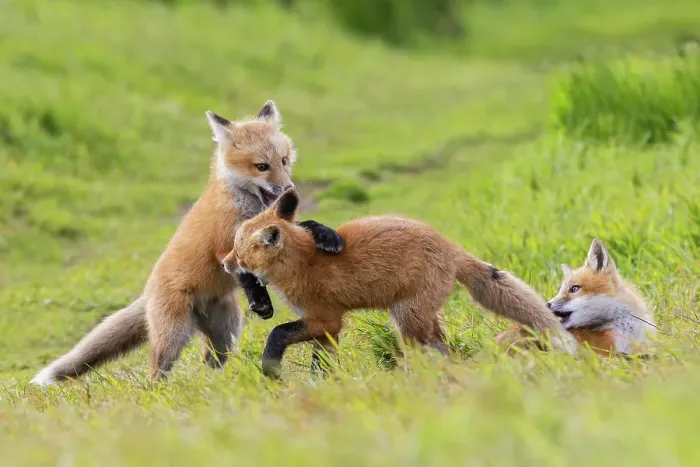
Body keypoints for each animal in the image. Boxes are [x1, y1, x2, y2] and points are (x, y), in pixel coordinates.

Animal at [29, 101, 344, 386]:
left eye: (284, 160)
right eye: (261, 166)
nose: (290, 189)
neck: (247, 207)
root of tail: (148, 291)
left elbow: (307, 227)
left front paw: (328, 235)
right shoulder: (227, 245)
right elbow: (243, 271)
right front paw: (261, 302)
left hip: (226, 331)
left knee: (210, 362)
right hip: (174, 335)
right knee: (157, 371)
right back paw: (160, 393)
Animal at [222, 188, 575, 379]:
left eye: (238, 251)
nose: (224, 263)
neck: (302, 263)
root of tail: (448, 245)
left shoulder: (324, 318)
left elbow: (277, 333)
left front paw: (271, 370)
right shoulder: (326, 328)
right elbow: (320, 365)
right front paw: (322, 388)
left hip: (407, 320)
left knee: (427, 350)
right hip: (419, 318)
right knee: (444, 347)